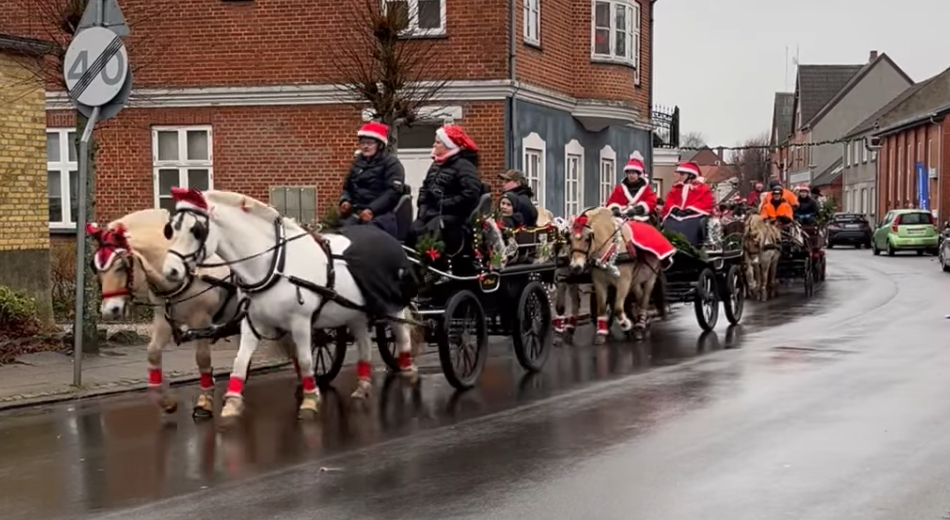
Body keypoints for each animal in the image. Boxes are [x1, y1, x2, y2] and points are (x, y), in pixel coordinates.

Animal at [88, 208, 242, 418]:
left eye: (122, 266)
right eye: (94, 268)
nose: (110, 310)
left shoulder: (200, 320)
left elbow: (202, 359)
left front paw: (204, 401)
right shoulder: (163, 318)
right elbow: (153, 353)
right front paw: (165, 400)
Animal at [162, 189, 418, 424]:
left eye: (196, 230)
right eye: (171, 229)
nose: (170, 271)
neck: (273, 265)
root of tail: (392, 241)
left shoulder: (301, 322)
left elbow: (304, 360)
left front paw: (310, 400)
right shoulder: (253, 322)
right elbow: (241, 361)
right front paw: (232, 403)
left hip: (392, 306)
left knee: (403, 336)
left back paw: (408, 372)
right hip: (355, 313)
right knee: (365, 344)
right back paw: (363, 386)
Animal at [568, 205, 664, 344]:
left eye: (587, 239)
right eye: (569, 240)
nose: (576, 267)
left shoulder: (623, 282)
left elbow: (618, 308)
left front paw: (626, 325)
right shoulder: (599, 281)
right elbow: (602, 308)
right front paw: (601, 333)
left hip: (651, 278)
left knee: (644, 299)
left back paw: (640, 325)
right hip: (635, 279)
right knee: (639, 297)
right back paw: (644, 321)